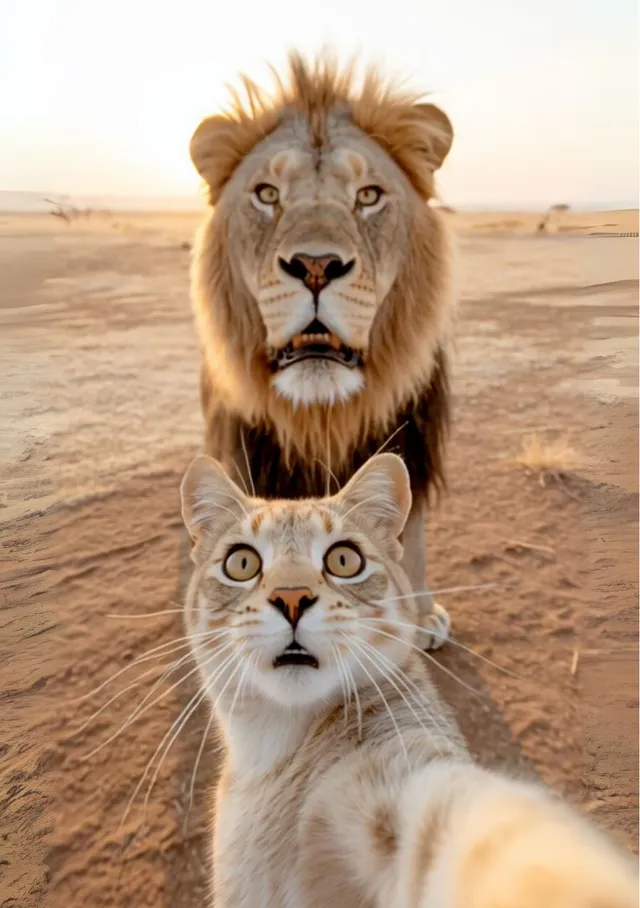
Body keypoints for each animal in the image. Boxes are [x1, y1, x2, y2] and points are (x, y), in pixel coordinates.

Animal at [188, 52, 456, 649]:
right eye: (267, 194)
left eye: (368, 196)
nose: (315, 265)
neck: (320, 417)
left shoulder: (408, 441)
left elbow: (407, 539)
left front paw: (418, 617)